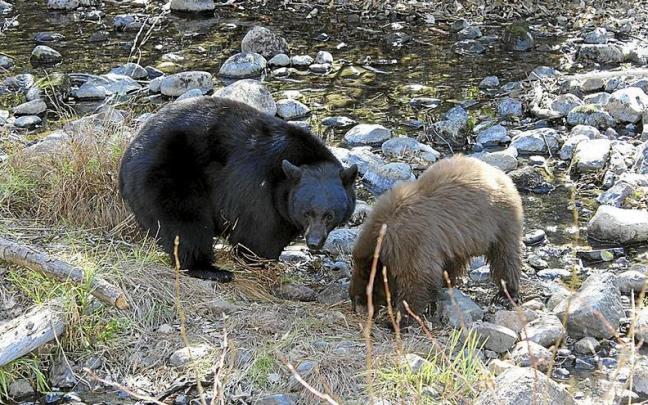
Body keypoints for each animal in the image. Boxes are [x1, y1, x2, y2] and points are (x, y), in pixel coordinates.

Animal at [119, 96, 358, 282]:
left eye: (329, 215)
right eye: (307, 213)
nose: (314, 243)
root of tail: (129, 153)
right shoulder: (258, 191)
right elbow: (257, 236)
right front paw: (261, 262)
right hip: (167, 177)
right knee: (186, 224)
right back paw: (209, 269)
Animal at [349, 155, 523, 325]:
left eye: (361, 297)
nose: (357, 310)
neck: (382, 235)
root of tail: (500, 175)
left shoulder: (409, 242)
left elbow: (417, 279)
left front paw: (399, 319)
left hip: (500, 221)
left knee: (505, 256)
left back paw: (506, 292)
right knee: (454, 261)